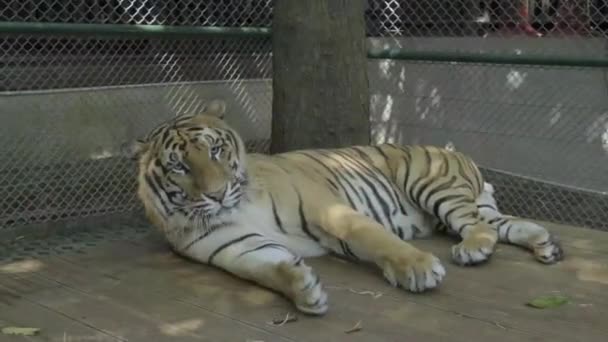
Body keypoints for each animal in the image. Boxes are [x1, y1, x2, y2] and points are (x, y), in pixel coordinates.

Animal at [128, 99, 564, 316]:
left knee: (479, 226)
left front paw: (419, 269)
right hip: (468, 204)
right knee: (504, 224)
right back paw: (546, 246)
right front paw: (303, 287)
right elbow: (264, 269)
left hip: (431, 184)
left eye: (216, 151)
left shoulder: (327, 207)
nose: (217, 194)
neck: (236, 206)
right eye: (180, 167)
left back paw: (472, 249)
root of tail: (459, 153)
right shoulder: (236, 247)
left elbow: (375, 238)